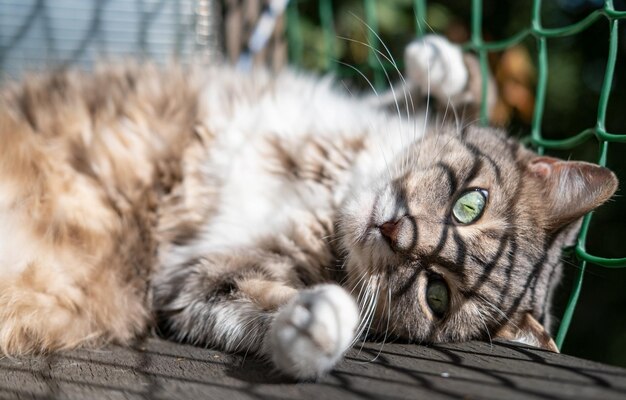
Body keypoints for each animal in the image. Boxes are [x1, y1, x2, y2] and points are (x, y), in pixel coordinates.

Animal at [0, 33, 616, 378]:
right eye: (471, 203)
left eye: (436, 296)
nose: (396, 230)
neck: (330, 191)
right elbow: (427, 97)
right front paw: (445, 64)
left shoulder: (189, 279)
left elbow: (240, 302)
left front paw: (317, 321)